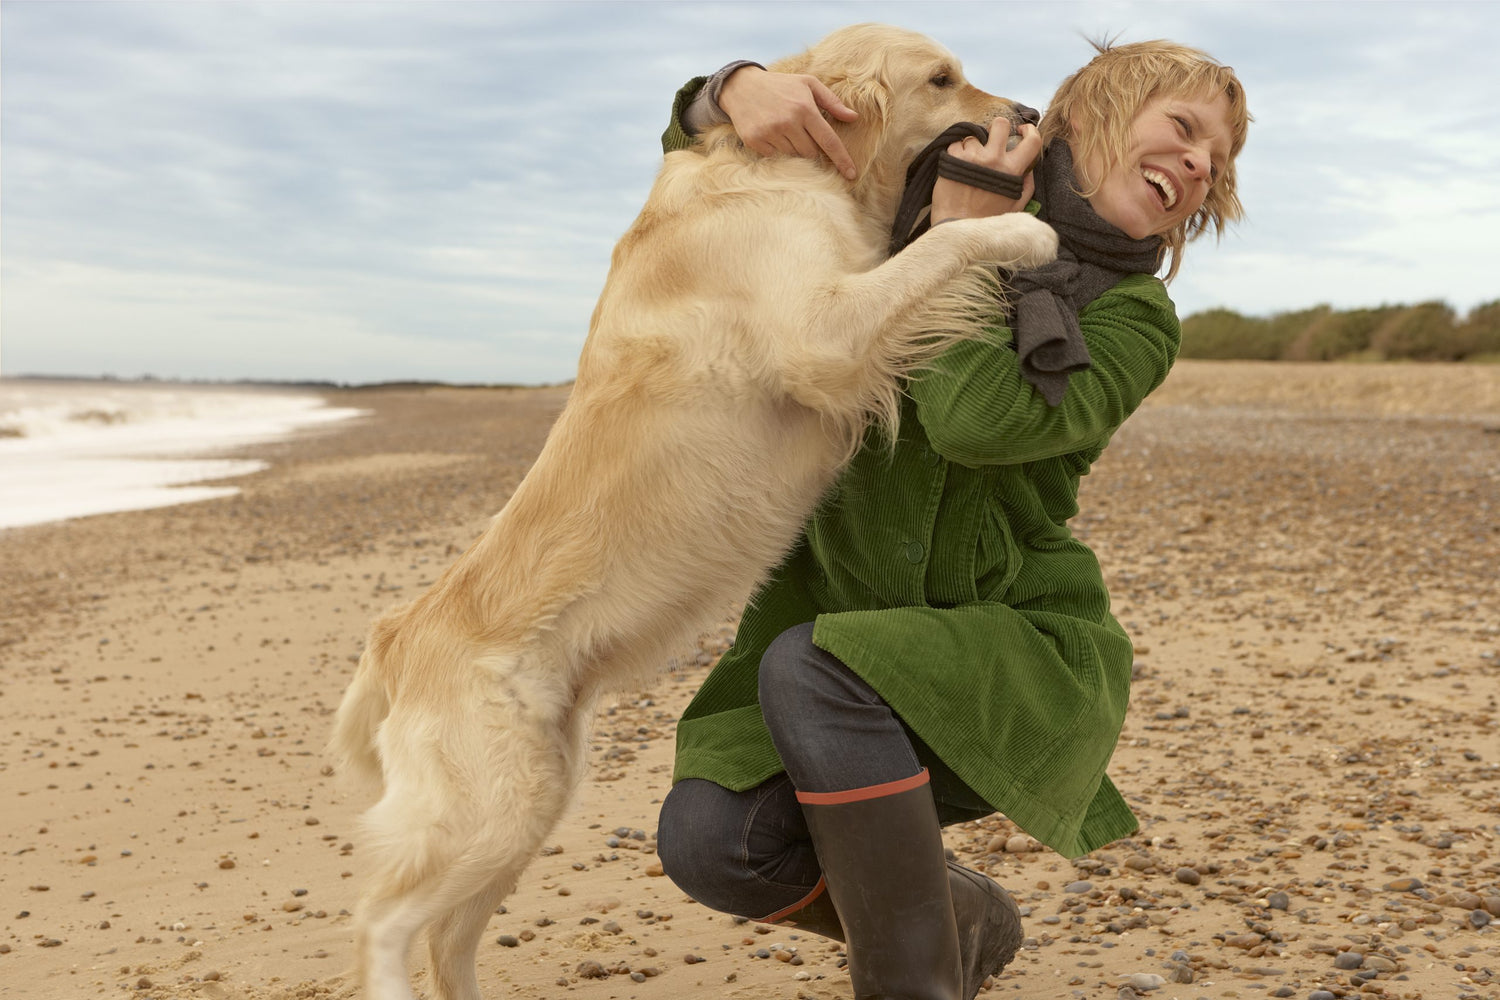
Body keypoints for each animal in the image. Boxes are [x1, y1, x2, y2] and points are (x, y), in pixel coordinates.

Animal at [331, 23, 1056, 1000]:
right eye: (943, 80)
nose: (1029, 112)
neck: (792, 167)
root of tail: (396, 637)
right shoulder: (821, 336)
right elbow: (938, 248)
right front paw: (1021, 226)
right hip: (488, 807)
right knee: (383, 920)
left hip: (533, 798)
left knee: (449, 938)